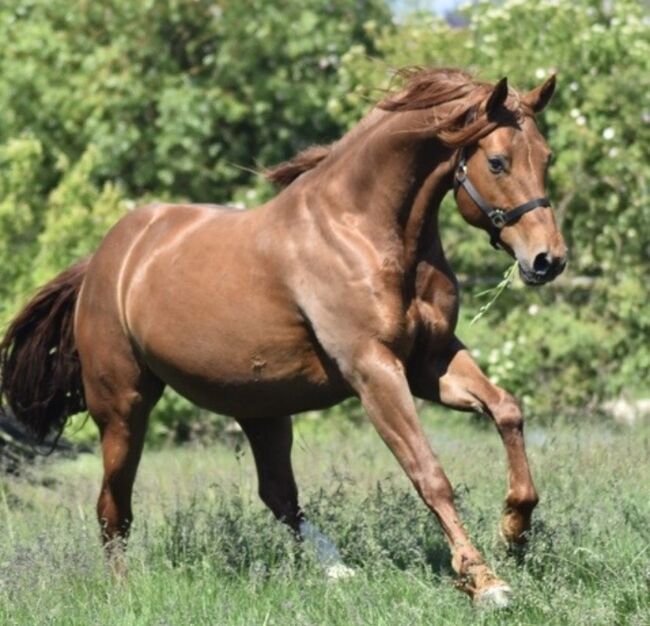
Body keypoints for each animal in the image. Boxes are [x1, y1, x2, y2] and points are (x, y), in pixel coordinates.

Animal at [0, 68, 564, 604]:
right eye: (497, 162)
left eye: (546, 157)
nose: (548, 261)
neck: (363, 229)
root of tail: (104, 260)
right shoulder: (372, 369)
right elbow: (429, 473)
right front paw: (484, 581)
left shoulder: (432, 361)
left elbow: (507, 410)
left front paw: (515, 530)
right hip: (122, 409)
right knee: (113, 508)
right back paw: (124, 591)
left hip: (261, 408)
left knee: (278, 494)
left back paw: (339, 572)